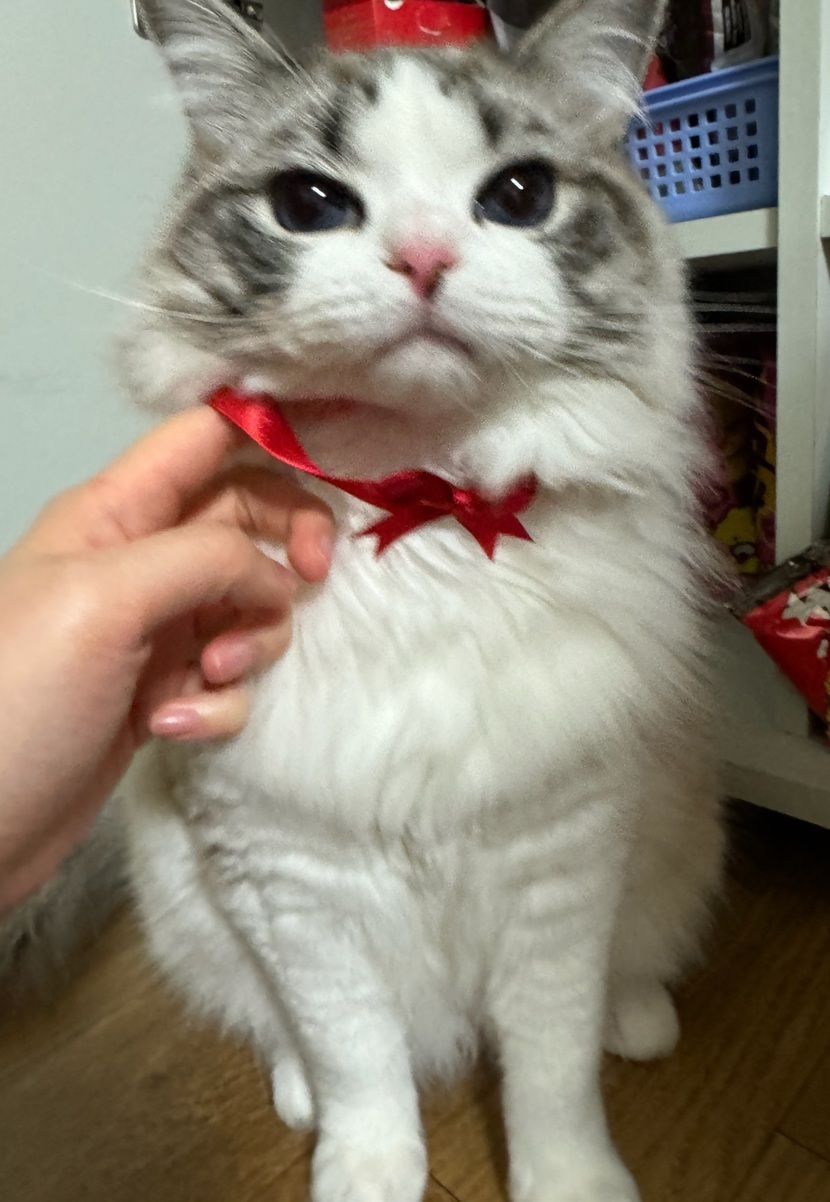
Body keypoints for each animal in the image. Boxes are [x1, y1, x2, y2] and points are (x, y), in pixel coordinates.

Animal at [117, 2, 727, 1200]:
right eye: (309, 205)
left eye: (520, 196)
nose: (424, 257)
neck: (426, 508)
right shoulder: (290, 879)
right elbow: (358, 1062)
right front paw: (364, 1172)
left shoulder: (560, 863)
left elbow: (550, 1075)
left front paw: (574, 1181)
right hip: (184, 899)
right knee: (277, 1030)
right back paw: (296, 1091)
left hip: (677, 825)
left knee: (632, 969)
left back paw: (641, 1022)